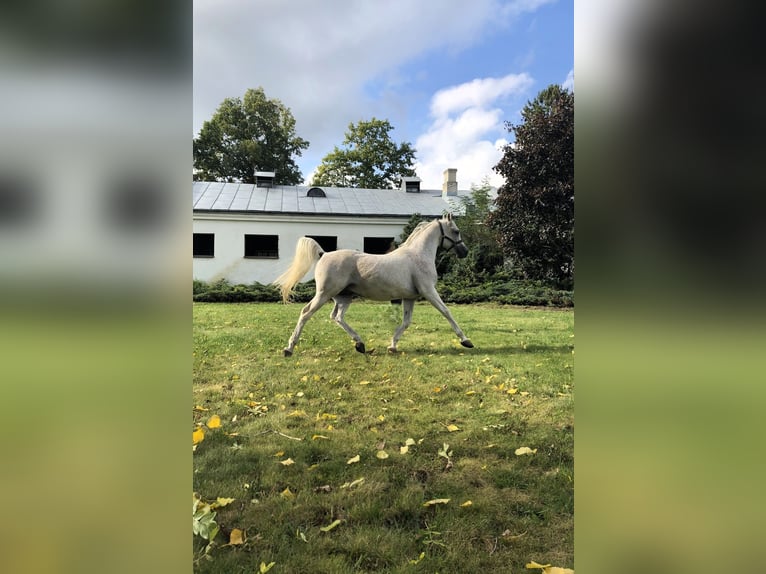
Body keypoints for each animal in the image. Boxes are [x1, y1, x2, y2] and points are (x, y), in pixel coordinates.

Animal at [270, 215, 474, 358]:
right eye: (456, 231)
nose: (465, 252)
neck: (418, 255)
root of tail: (324, 254)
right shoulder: (429, 291)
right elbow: (446, 312)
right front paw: (466, 341)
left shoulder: (410, 297)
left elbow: (406, 322)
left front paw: (392, 346)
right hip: (324, 294)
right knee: (306, 313)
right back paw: (289, 349)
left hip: (343, 297)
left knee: (337, 317)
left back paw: (360, 344)